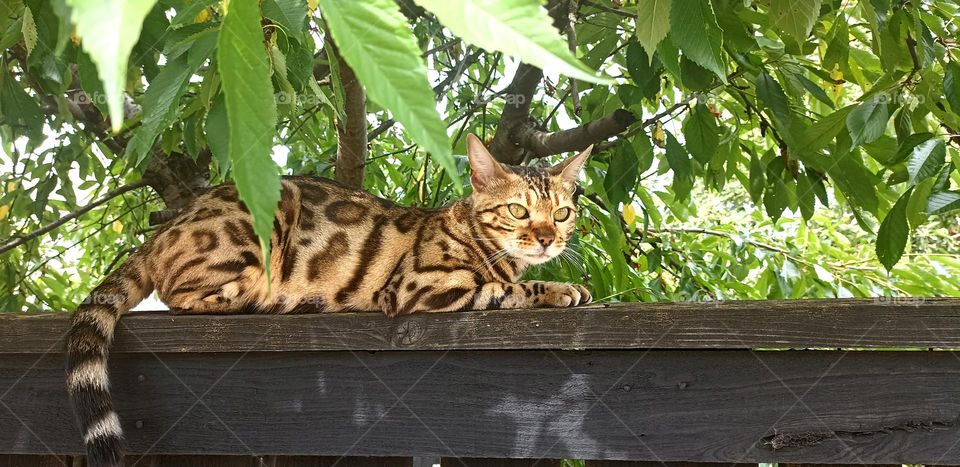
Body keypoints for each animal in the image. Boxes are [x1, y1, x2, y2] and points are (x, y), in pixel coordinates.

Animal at [65, 133, 592, 466]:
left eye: (562, 213)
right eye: (518, 211)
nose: (547, 239)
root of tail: (166, 227)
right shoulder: (420, 287)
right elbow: (508, 289)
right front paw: (560, 289)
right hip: (264, 223)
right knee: (182, 296)